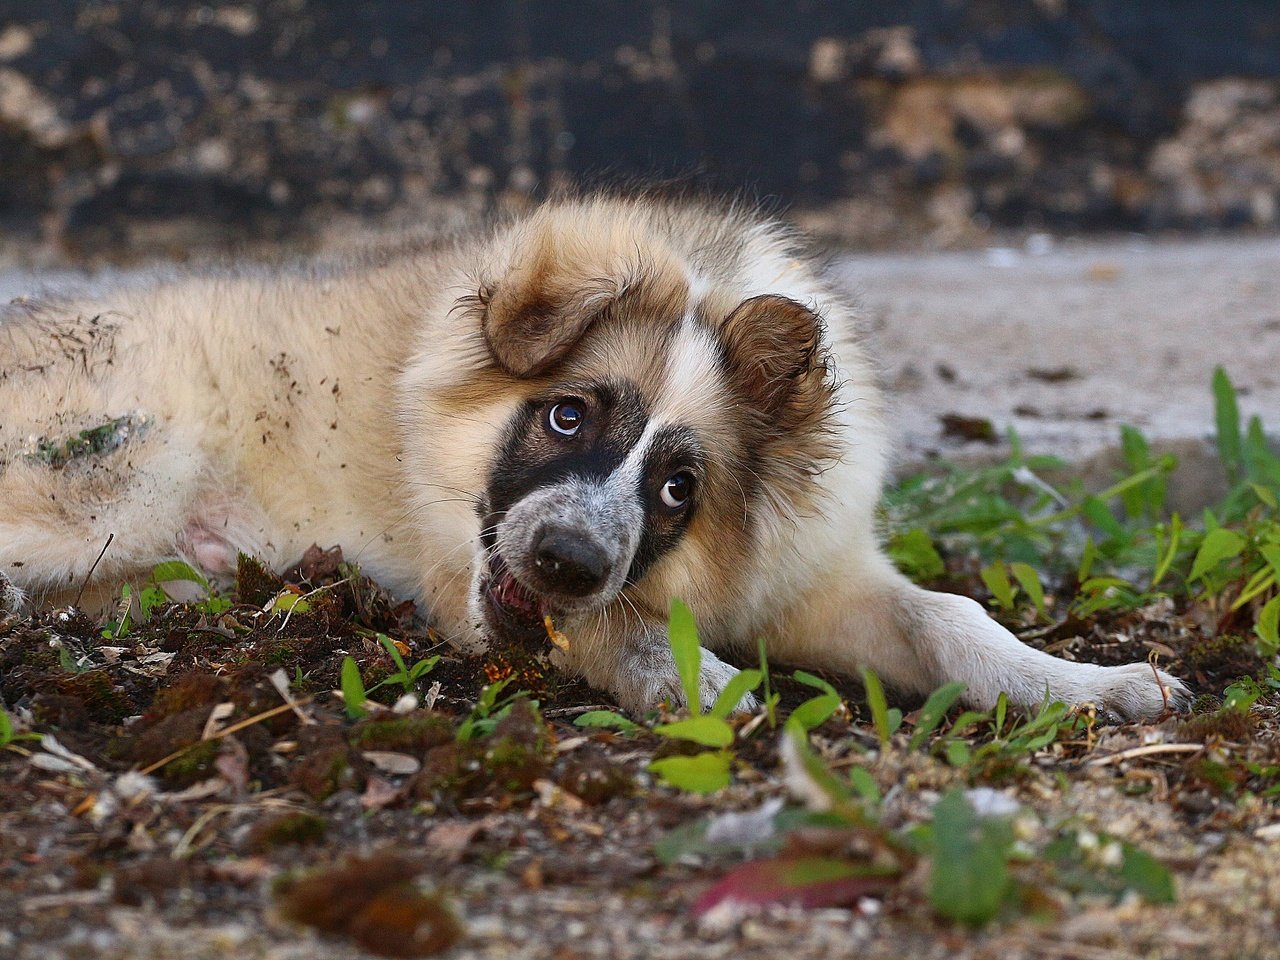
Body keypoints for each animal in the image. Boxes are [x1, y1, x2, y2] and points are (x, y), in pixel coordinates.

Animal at [0, 195, 1187, 716]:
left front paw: (1087, 683)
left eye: (679, 487)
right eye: (567, 417)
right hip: (122, 473)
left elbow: (950, 616)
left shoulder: (812, 575)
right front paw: (703, 683)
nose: (566, 561)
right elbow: (619, 627)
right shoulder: (471, 580)